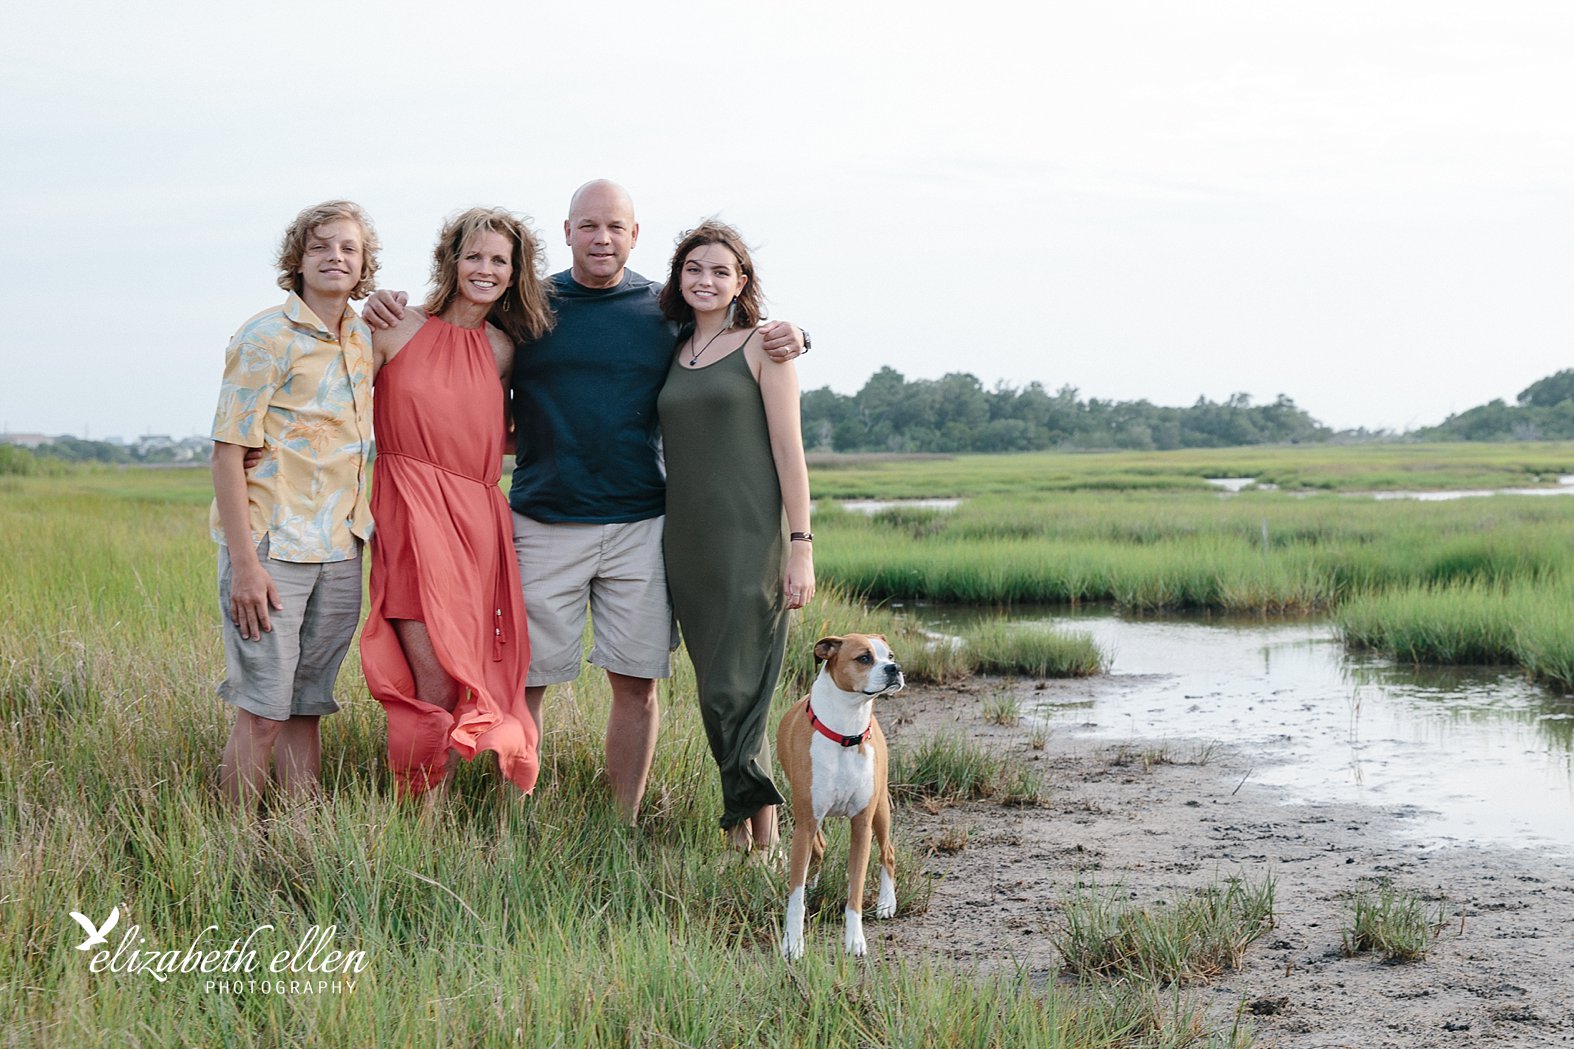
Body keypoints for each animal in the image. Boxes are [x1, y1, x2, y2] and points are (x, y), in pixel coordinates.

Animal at [777, 630, 906, 957]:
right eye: (864, 657)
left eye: (890, 655)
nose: (895, 669)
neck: (846, 732)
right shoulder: (806, 822)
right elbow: (796, 894)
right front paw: (792, 943)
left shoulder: (861, 824)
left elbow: (855, 891)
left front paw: (855, 940)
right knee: (819, 847)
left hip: (880, 810)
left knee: (888, 851)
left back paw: (887, 903)